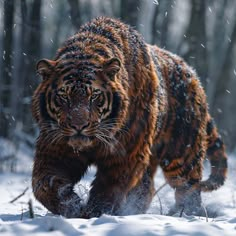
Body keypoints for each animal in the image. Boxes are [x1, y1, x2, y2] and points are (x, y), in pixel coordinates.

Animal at [30, 17, 227, 219]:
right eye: (64, 96)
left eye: (94, 96)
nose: (79, 125)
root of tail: (193, 74)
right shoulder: (56, 149)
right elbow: (44, 185)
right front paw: (72, 206)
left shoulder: (125, 154)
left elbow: (109, 189)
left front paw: (96, 213)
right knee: (148, 187)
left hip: (181, 153)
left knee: (188, 187)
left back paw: (184, 213)